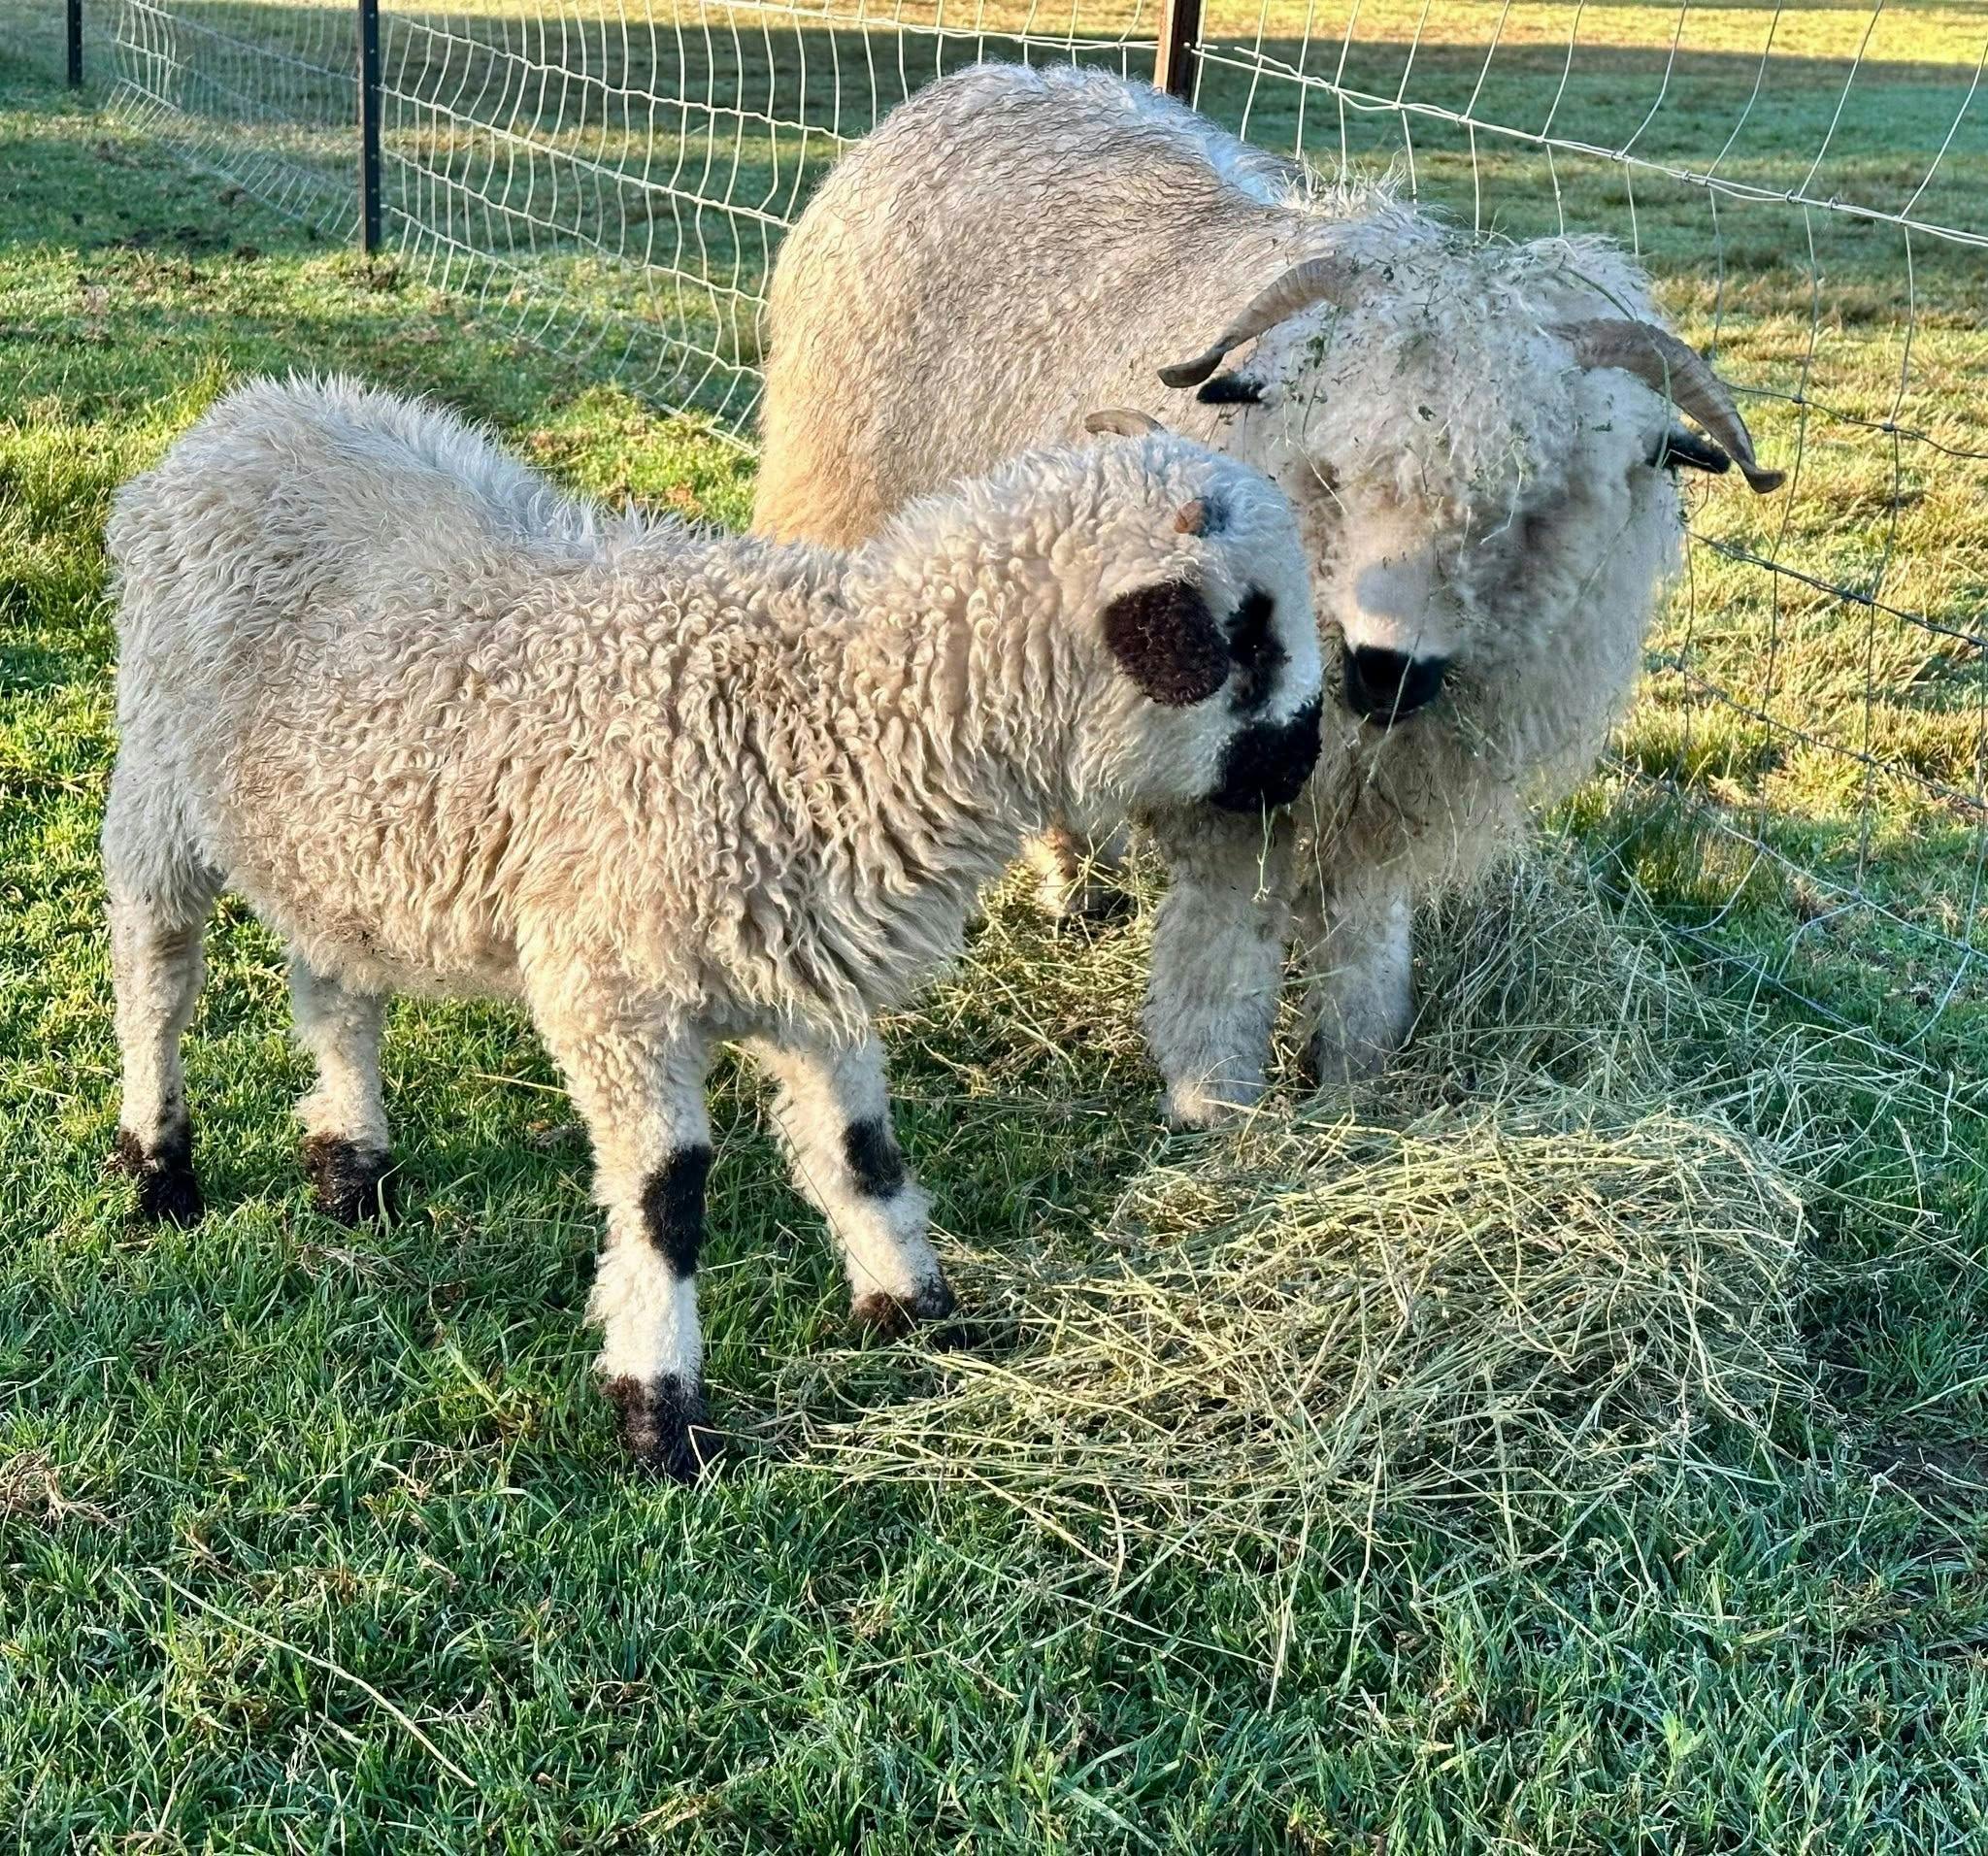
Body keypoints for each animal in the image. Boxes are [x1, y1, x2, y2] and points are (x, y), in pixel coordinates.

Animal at [101, 374, 1324, 1478]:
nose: (1305, 764)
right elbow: (667, 1199)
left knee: (334, 987)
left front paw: (916, 1312)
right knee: (156, 974)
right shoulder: (614, 995)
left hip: (336, 836)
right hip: (158, 774)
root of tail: (242, 415)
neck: (827, 714)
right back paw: (160, 1172)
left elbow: (861, 1154)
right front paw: (660, 1411)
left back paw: (350, 1164)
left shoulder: (806, 980)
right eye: (1248, 634)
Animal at [754, 61, 1784, 1129]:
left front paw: (1354, 1074)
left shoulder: (1386, 795)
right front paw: (1217, 1098)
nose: (1388, 670)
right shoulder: (1230, 786)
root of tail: (988, 76)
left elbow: (1363, 934)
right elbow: (1223, 941)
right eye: (1334, 473)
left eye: (1526, 509)